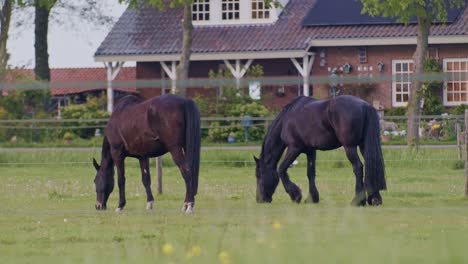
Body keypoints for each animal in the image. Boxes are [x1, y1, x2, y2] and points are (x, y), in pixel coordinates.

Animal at [254, 95, 386, 206]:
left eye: (259, 175)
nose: (260, 199)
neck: (287, 118)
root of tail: (365, 106)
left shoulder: (294, 148)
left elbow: (282, 169)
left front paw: (296, 195)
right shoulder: (311, 151)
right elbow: (310, 173)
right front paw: (312, 198)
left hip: (350, 147)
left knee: (358, 167)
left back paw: (357, 201)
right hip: (363, 145)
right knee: (372, 164)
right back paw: (375, 199)